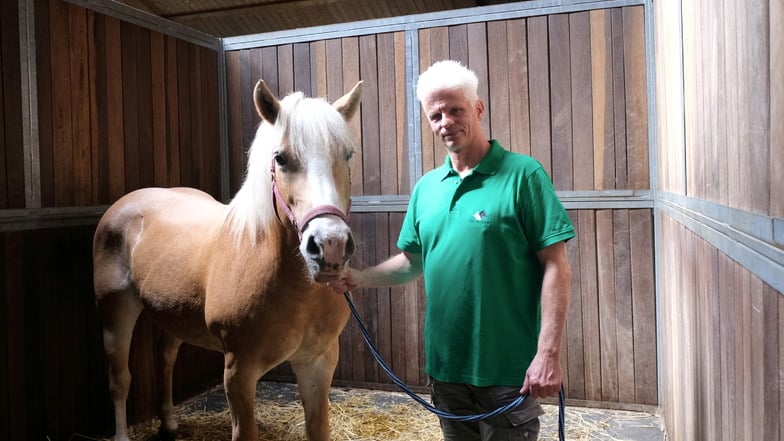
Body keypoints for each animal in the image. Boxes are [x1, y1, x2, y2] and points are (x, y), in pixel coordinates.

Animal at [93, 79, 362, 440]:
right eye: (280, 158)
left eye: (347, 154)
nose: (330, 245)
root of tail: (122, 205)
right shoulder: (238, 370)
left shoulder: (318, 362)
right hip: (116, 311)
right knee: (120, 380)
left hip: (170, 312)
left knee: (165, 359)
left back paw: (170, 422)